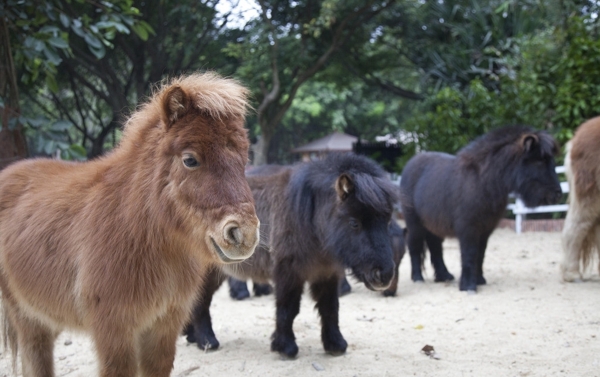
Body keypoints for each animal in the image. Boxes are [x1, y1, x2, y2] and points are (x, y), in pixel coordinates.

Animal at [0, 72, 258, 374]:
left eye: (244, 159)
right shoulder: (115, 332)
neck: (135, 231)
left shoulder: (163, 328)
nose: (244, 235)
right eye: (190, 160)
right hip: (27, 318)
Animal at [398, 125, 564, 292]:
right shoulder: (468, 228)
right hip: (414, 223)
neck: (483, 182)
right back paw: (418, 278)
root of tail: (408, 166)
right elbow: (470, 253)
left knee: (435, 247)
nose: (557, 194)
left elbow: (480, 254)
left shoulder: (485, 229)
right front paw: (469, 286)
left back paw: (444, 275)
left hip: (433, 225)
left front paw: (479, 280)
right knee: (414, 246)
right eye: (539, 161)